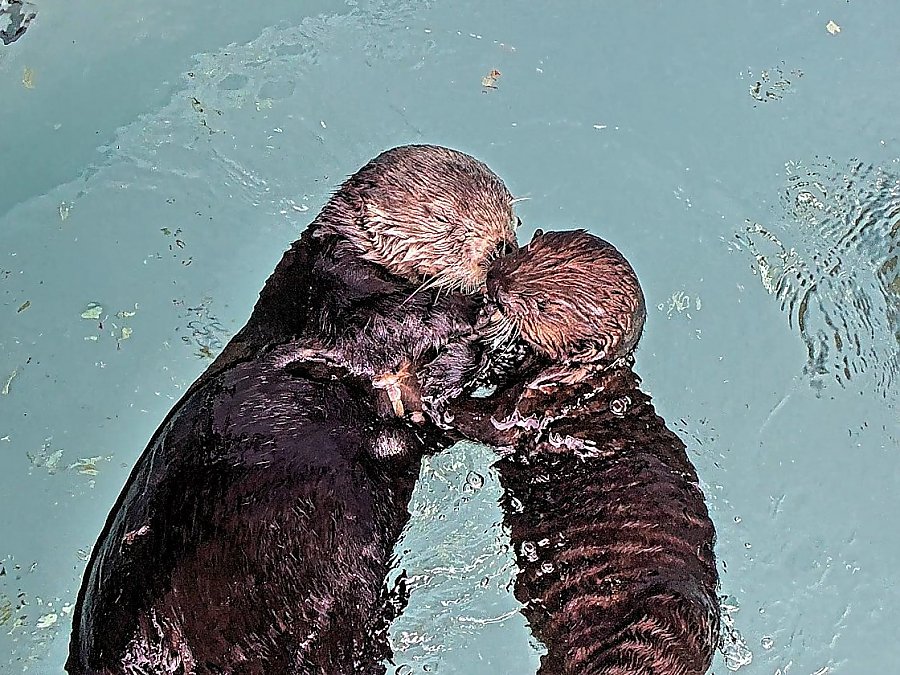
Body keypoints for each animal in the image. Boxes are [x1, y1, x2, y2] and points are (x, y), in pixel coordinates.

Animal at [67, 145, 520, 672]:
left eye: (511, 216)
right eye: (443, 219)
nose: (501, 249)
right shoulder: (326, 286)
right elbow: (380, 325)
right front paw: (469, 316)